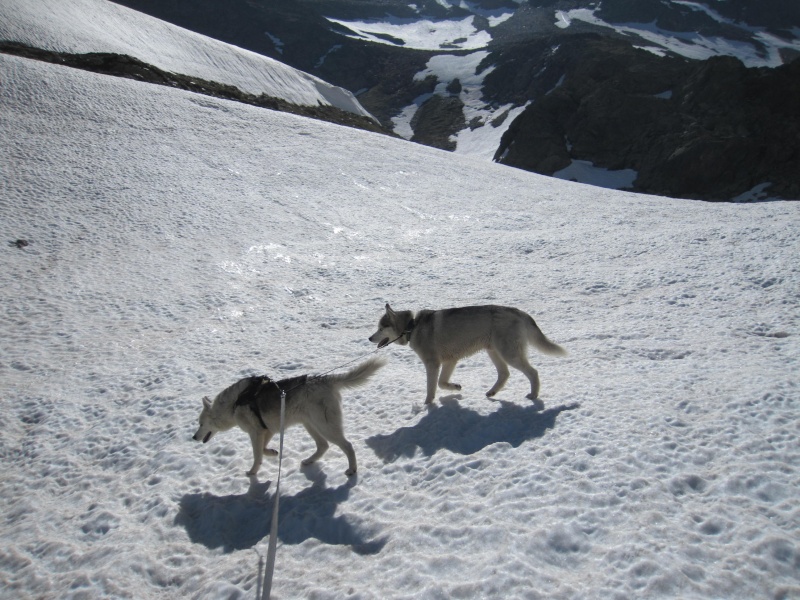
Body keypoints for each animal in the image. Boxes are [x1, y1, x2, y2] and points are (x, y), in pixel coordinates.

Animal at [191, 356, 384, 478]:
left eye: (200, 424)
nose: (193, 437)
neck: (233, 405)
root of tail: (324, 380)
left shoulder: (256, 433)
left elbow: (257, 455)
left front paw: (252, 472)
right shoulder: (267, 430)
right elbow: (263, 450)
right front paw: (273, 453)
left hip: (325, 426)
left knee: (348, 446)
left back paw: (352, 470)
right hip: (310, 425)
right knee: (323, 446)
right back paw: (309, 461)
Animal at [370, 304, 564, 408]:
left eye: (380, 328)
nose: (369, 338)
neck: (412, 326)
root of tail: (520, 312)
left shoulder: (433, 363)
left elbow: (431, 388)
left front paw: (427, 405)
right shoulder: (450, 361)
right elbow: (442, 383)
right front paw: (455, 387)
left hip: (509, 353)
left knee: (533, 372)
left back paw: (533, 395)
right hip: (494, 351)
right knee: (504, 373)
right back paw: (492, 392)